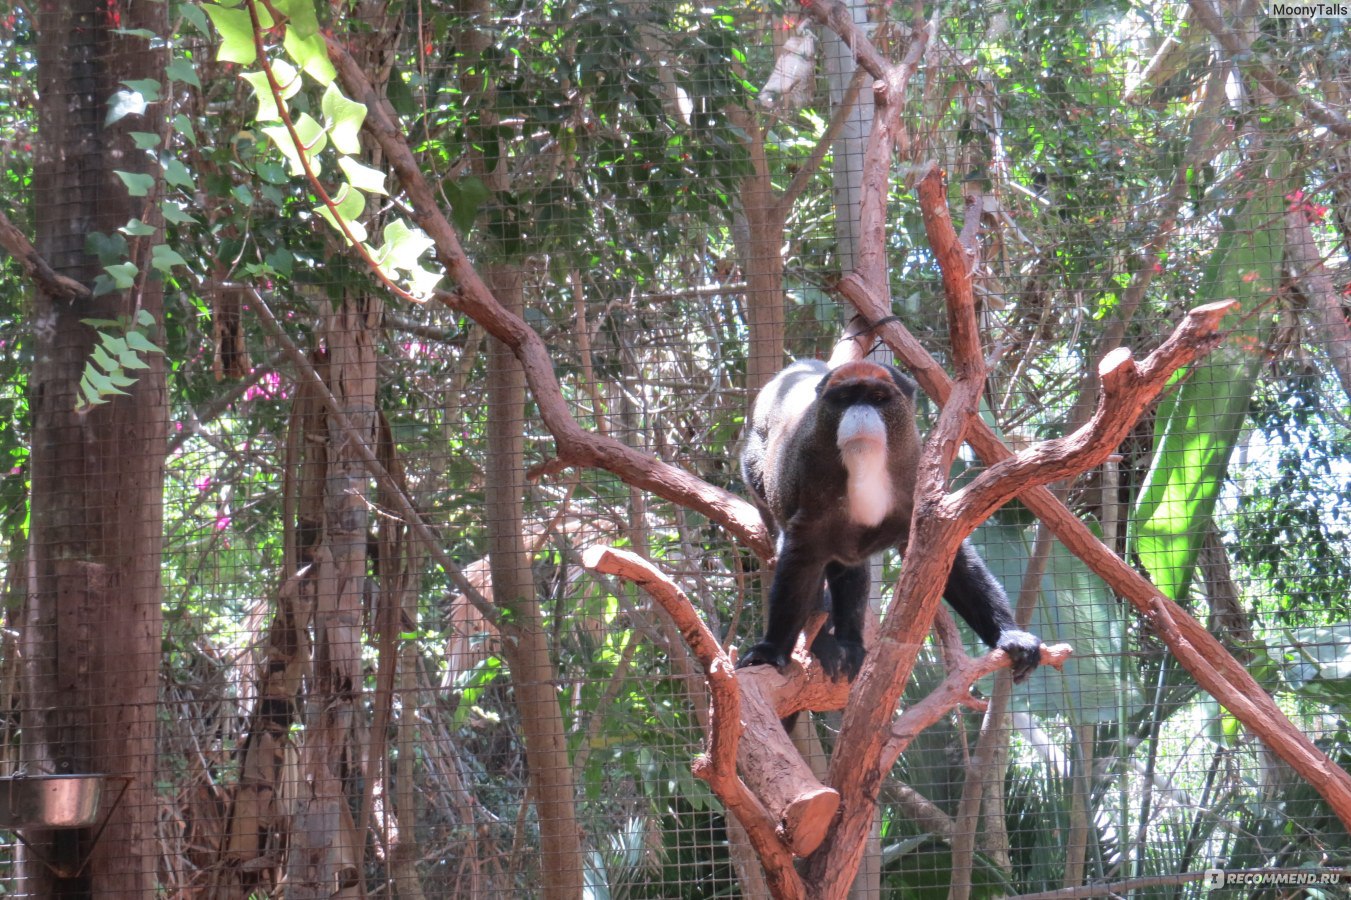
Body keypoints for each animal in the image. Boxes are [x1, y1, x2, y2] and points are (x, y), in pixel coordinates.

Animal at [740, 356, 1042, 681]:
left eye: (877, 398)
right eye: (845, 398)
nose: (860, 412)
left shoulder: (915, 494)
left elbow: (949, 555)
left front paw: (1010, 635)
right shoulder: (811, 490)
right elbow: (800, 562)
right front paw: (770, 651)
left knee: (849, 568)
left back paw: (850, 642)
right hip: (754, 464)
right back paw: (823, 645)